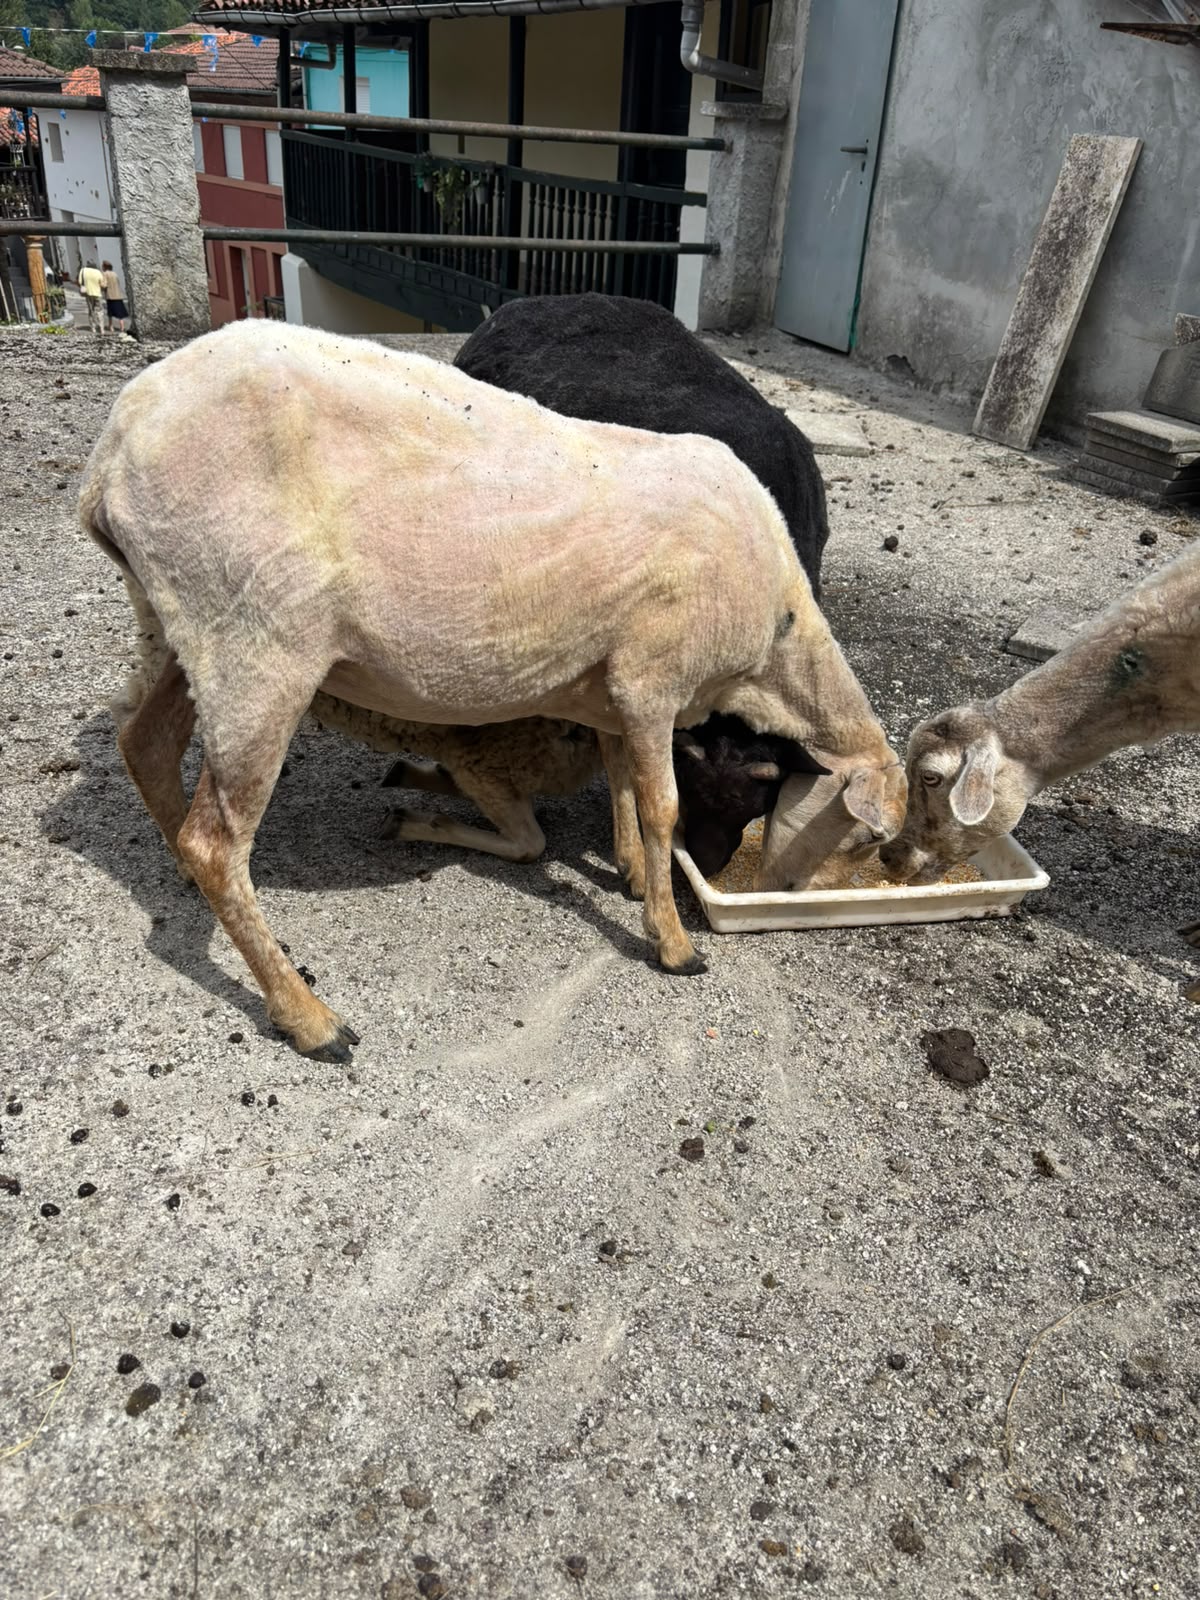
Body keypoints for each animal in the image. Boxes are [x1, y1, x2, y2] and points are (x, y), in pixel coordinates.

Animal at [81, 320, 903, 1061]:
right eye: (870, 837)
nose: (793, 895)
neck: (777, 637)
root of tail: (111, 451)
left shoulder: (612, 683)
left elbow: (620, 776)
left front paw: (633, 872)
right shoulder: (651, 676)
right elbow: (661, 804)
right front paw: (673, 942)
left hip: (178, 617)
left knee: (143, 741)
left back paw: (186, 878)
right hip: (256, 640)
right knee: (216, 840)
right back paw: (309, 1018)